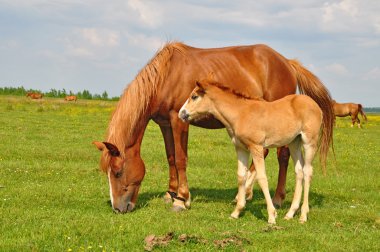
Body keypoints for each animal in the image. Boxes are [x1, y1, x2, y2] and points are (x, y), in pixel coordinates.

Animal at [178, 79, 330, 223]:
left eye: (194, 96)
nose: (181, 113)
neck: (240, 114)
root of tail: (315, 104)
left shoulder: (256, 147)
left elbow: (262, 177)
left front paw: (272, 216)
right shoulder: (240, 148)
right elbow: (241, 176)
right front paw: (236, 212)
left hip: (309, 142)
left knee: (307, 171)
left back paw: (303, 216)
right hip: (294, 143)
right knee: (299, 171)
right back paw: (290, 214)